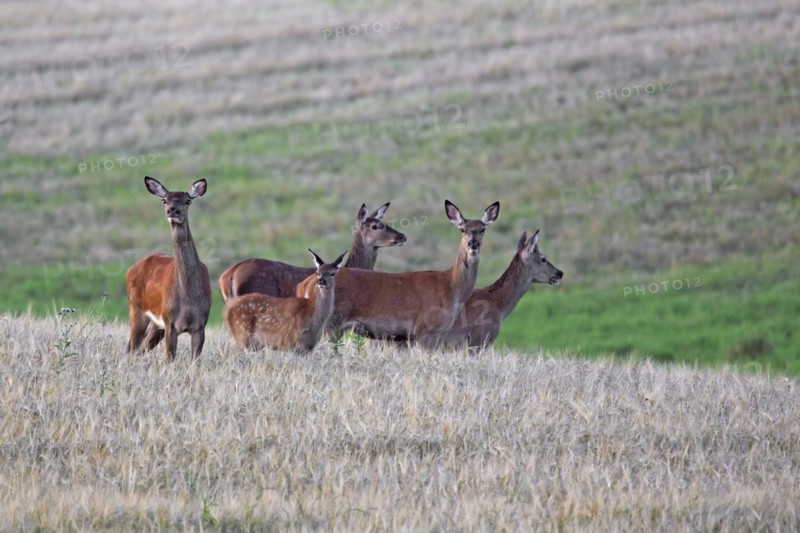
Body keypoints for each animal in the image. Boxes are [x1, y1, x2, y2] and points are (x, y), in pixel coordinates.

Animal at [125, 176, 211, 361]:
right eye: (164, 200)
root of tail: (131, 269)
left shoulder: (200, 325)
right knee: (131, 348)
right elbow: (170, 358)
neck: (188, 299)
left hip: (156, 325)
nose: (172, 210)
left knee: (139, 348)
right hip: (136, 310)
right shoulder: (170, 322)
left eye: (187, 200)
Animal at [295, 200, 500, 348]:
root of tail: (305, 284)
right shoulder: (425, 330)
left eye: (483, 229)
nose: (473, 244)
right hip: (329, 323)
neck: (451, 288)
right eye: (462, 229)